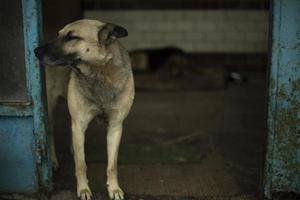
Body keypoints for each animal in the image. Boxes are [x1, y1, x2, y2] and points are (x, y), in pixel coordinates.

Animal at [33, 19, 135, 200]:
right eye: (59, 35)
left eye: (72, 37)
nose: (35, 51)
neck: (99, 73)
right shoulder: (80, 124)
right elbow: (81, 164)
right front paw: (83, 189)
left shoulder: (115, 127)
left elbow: (112, 165)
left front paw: (114, 189)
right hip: (50, 109)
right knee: (51, 132)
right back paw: (53, 161)